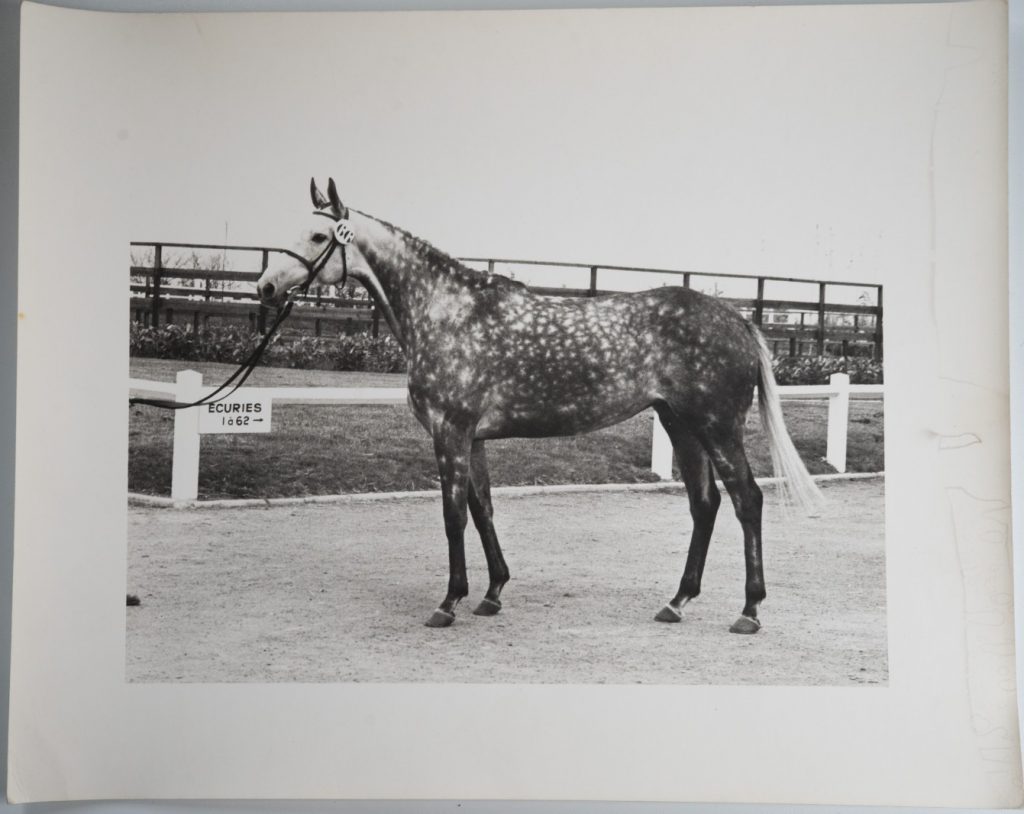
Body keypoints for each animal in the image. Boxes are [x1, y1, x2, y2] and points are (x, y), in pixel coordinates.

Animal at [257, 178, 822, 634]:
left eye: (317, 237)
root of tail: (740, 320)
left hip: (717, 427)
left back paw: (749, 611)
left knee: (748, 500)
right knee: (705, 505)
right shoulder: (473, 438)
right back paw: (677, 601)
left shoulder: (450, 432)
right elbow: (482, 509)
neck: (446, 312)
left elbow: (453, 515)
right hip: (680, 425)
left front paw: (449, 602)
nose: (264, 286)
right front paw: (492, 593)